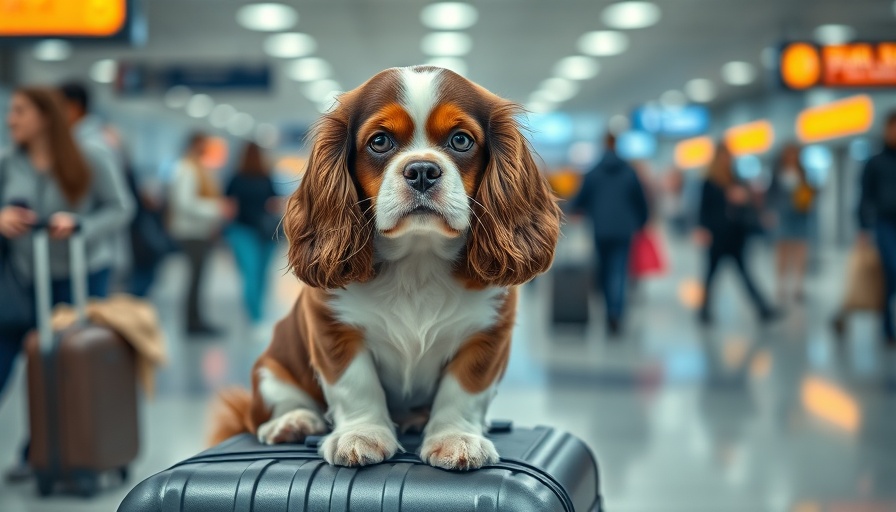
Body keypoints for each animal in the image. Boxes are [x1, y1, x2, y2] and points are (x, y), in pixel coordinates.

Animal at [211, 67, 560, 472]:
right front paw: (362, 434)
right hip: (270, 367)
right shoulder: (334, 329)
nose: (422, 170)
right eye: (380, 142)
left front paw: (455, 437)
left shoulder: (487, 335)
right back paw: (292, 422)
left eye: (461, 140)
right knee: (269, 407)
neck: (417, 259)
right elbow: (356, 384)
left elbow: (463, 391)